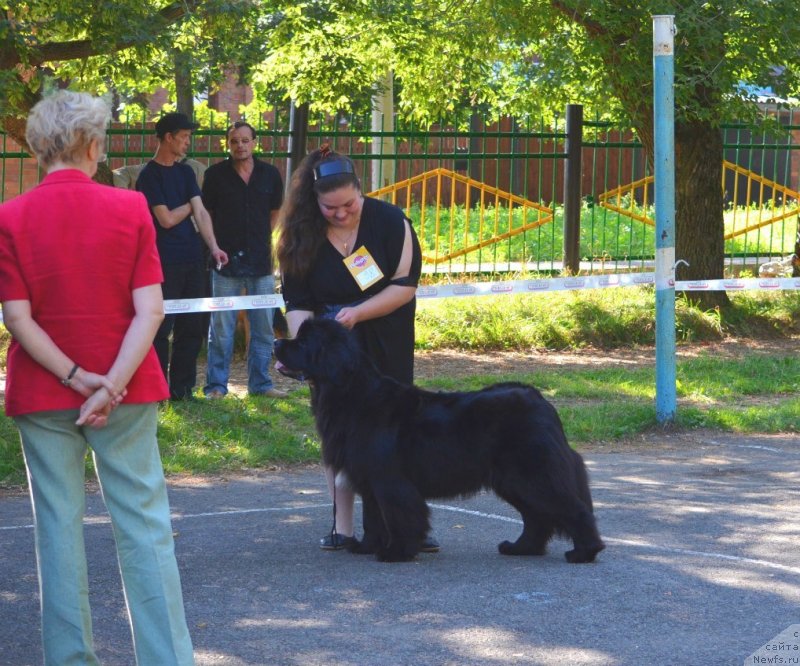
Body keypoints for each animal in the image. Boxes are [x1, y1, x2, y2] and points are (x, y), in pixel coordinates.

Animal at [276, 316, 608, 560]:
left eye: (303, 342)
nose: (278, 342)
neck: (350, 394)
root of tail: (540, 400)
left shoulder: (389, 480)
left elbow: (397, 516)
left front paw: (396, 552)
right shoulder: (369, 480)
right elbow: (373, 518)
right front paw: (367, 547)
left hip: (532, 474)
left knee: (571, 508)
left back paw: (584, 552)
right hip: (512, 480)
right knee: (537, 517)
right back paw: (521, 548)